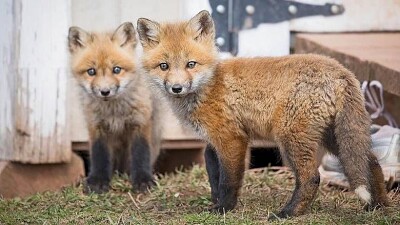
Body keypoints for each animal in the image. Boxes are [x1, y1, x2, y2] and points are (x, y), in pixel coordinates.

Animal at [137, 11, 388, 218]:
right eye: (164, 66)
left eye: (191, 64)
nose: (176, 88)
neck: (208, 86)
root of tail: (341, 71)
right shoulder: (212, 143)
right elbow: (213, 175)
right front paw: (215, 203)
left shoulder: (232, 139)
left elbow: (228, 181)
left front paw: (224, 209)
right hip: (334, 137)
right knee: (372, 163)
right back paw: (378, 206)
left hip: (291, 140)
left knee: (311, 178)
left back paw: (288, 213)